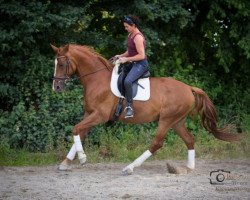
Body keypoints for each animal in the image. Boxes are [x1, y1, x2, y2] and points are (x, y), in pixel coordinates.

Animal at [50, 43, 240, 173]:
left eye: (61, 64)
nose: (56, 87)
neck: (96, 79)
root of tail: (189, 88)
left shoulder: (99, 115)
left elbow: (76, 129)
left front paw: (82, 158)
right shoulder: (89, 114)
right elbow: (79, 132)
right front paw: (66, 163)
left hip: (166, 120)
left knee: (157, 143)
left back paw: (130, 167)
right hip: (177, 121)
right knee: (189, 140)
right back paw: (188, 168)